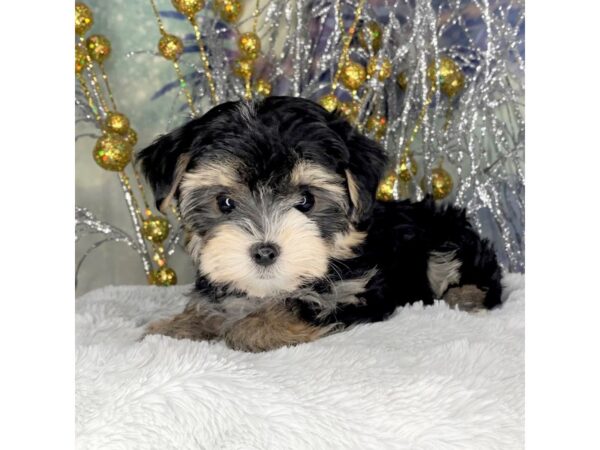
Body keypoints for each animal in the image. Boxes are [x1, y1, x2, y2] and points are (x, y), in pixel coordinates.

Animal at [136, 96, 502, 354]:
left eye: (306, 200)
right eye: (224, 202)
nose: (265, 252)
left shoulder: (353, 294)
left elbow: (292, 308)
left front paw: (246, 329)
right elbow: (212, 304)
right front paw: (181, 326)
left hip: (445, 239)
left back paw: (465, 297)